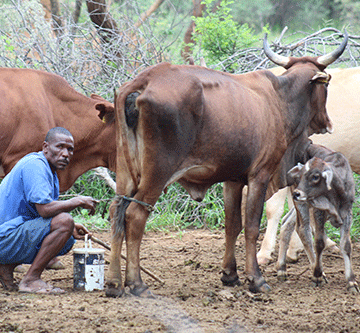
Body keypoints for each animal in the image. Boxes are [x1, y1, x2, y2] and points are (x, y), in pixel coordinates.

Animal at [102, 31, 348, 296]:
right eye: (327, 84)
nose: (327, 123)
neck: (280, 99)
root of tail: (144, 81)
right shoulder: (259, 176)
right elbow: (251, 226)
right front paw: (256, 279)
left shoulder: (232, 180)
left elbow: (232, 225)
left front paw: (230, 274)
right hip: (157, 174)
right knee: (135, 216)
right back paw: (137, 284)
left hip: (126, 174)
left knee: (116, 211)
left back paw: (114, 283)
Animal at [276, 144, 358, 292]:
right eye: (300, 176)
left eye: (315, 176)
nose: (297, 193)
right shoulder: (318, 211)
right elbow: (319, 242)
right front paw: (317, 275)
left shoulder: (347, 213)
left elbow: (346, 245)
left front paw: (351, 281)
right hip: (302, 204)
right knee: (302, 229)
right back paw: (319, 272)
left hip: (301, 204)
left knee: (286, 223)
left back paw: (281, 269)